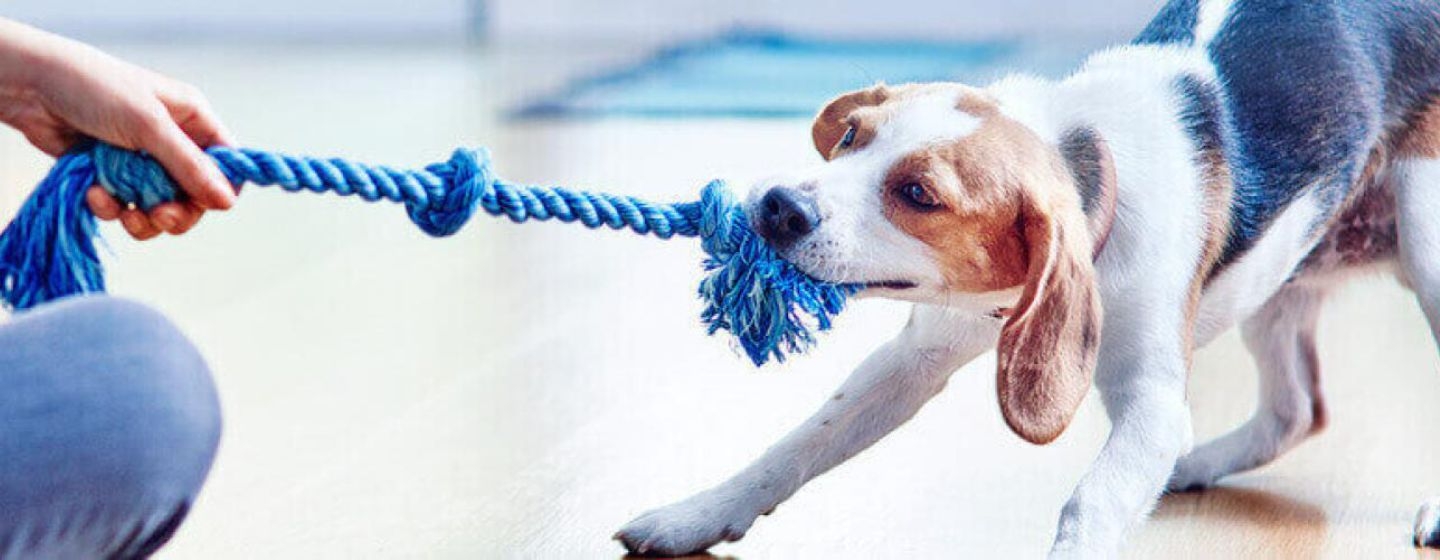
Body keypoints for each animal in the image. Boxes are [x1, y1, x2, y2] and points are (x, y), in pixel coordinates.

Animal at [622, 0, 1440, 552]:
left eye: (920, 193)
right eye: (853, 136)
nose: (777, 207)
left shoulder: (1151, 402)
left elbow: (1093, 500)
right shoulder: (914, 356)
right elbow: (797, 445)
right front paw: (697, 515)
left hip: (1425, 241)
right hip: (1283, 267)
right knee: (1295, 411)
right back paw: (1192, 464)